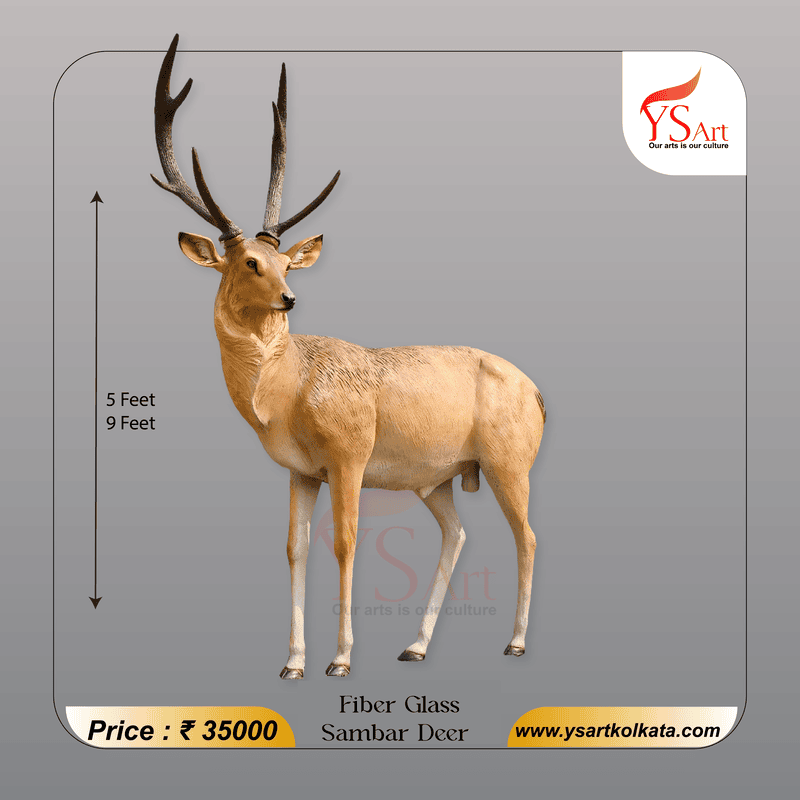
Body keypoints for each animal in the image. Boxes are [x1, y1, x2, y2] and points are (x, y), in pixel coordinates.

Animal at [152, 35, 546, 679]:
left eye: (286, 261)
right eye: (249, 263)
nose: (289, 297)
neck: (290, 387)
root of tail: (536, 391)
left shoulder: (349, 458)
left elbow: (345, 542)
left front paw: (339, 660)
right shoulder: (299, 471)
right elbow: (294, 548)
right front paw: (292, 662)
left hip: (509, 464)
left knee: (528, 535)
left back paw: (513, 644)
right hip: (438, 479)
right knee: (457, 534)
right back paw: (415, 646)